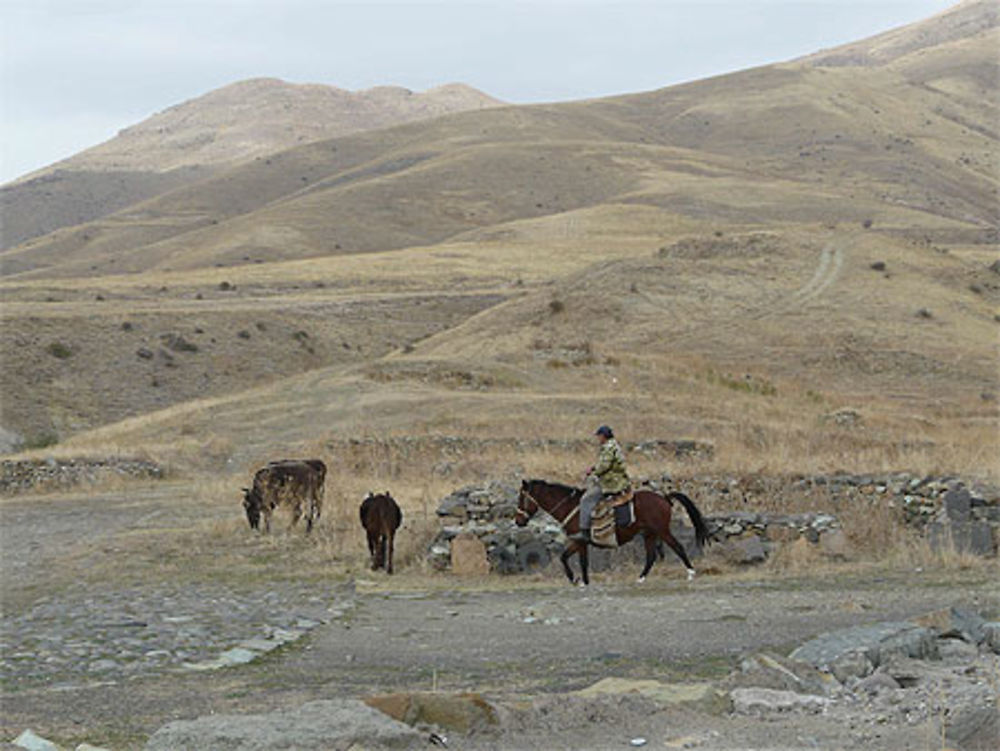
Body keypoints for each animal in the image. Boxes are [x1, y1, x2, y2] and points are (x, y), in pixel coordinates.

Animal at [516, 482, 712, 588]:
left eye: (521, 498)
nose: (518, 521)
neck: (570, 506)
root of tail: (664, 497)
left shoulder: (580, 541)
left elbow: (572, 560)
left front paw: (576, 580)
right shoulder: (580, 542)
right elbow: (573, 560)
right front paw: (583, 581)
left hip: (662, 531)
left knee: (678, 547)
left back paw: (691, 573)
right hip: (649, 534)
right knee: (651, 556)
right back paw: (640, 579)